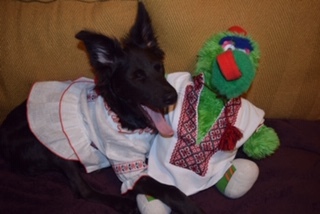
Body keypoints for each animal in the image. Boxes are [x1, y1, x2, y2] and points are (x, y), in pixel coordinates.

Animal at [0, 2, 202, 214]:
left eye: (159, 67)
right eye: (137, 77)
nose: (173, 96)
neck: (122, 116)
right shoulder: (128, 165)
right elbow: (168, 189)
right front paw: (190, 208)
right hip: (52, 143)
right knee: (83, 191)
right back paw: (122, 203)